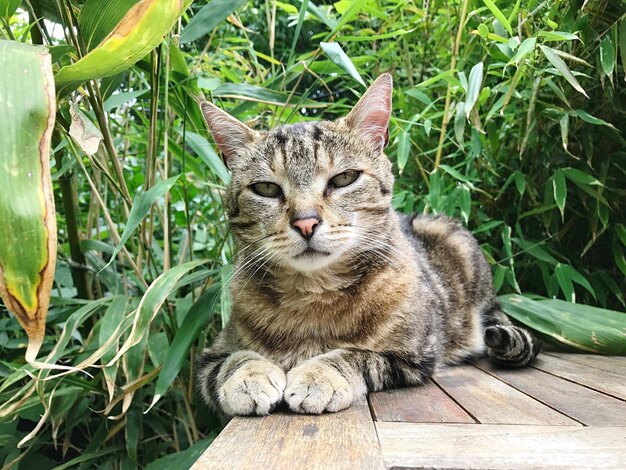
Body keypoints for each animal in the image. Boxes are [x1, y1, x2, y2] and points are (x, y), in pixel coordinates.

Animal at [195, 75, 536, 416]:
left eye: (345, 178)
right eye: (265, 188)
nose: (306, 223)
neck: (313, 297)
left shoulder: (414, 357)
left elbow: (354, 355)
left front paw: (318, 375)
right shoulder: (212, 355)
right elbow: (236, 359)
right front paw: (248, 377)